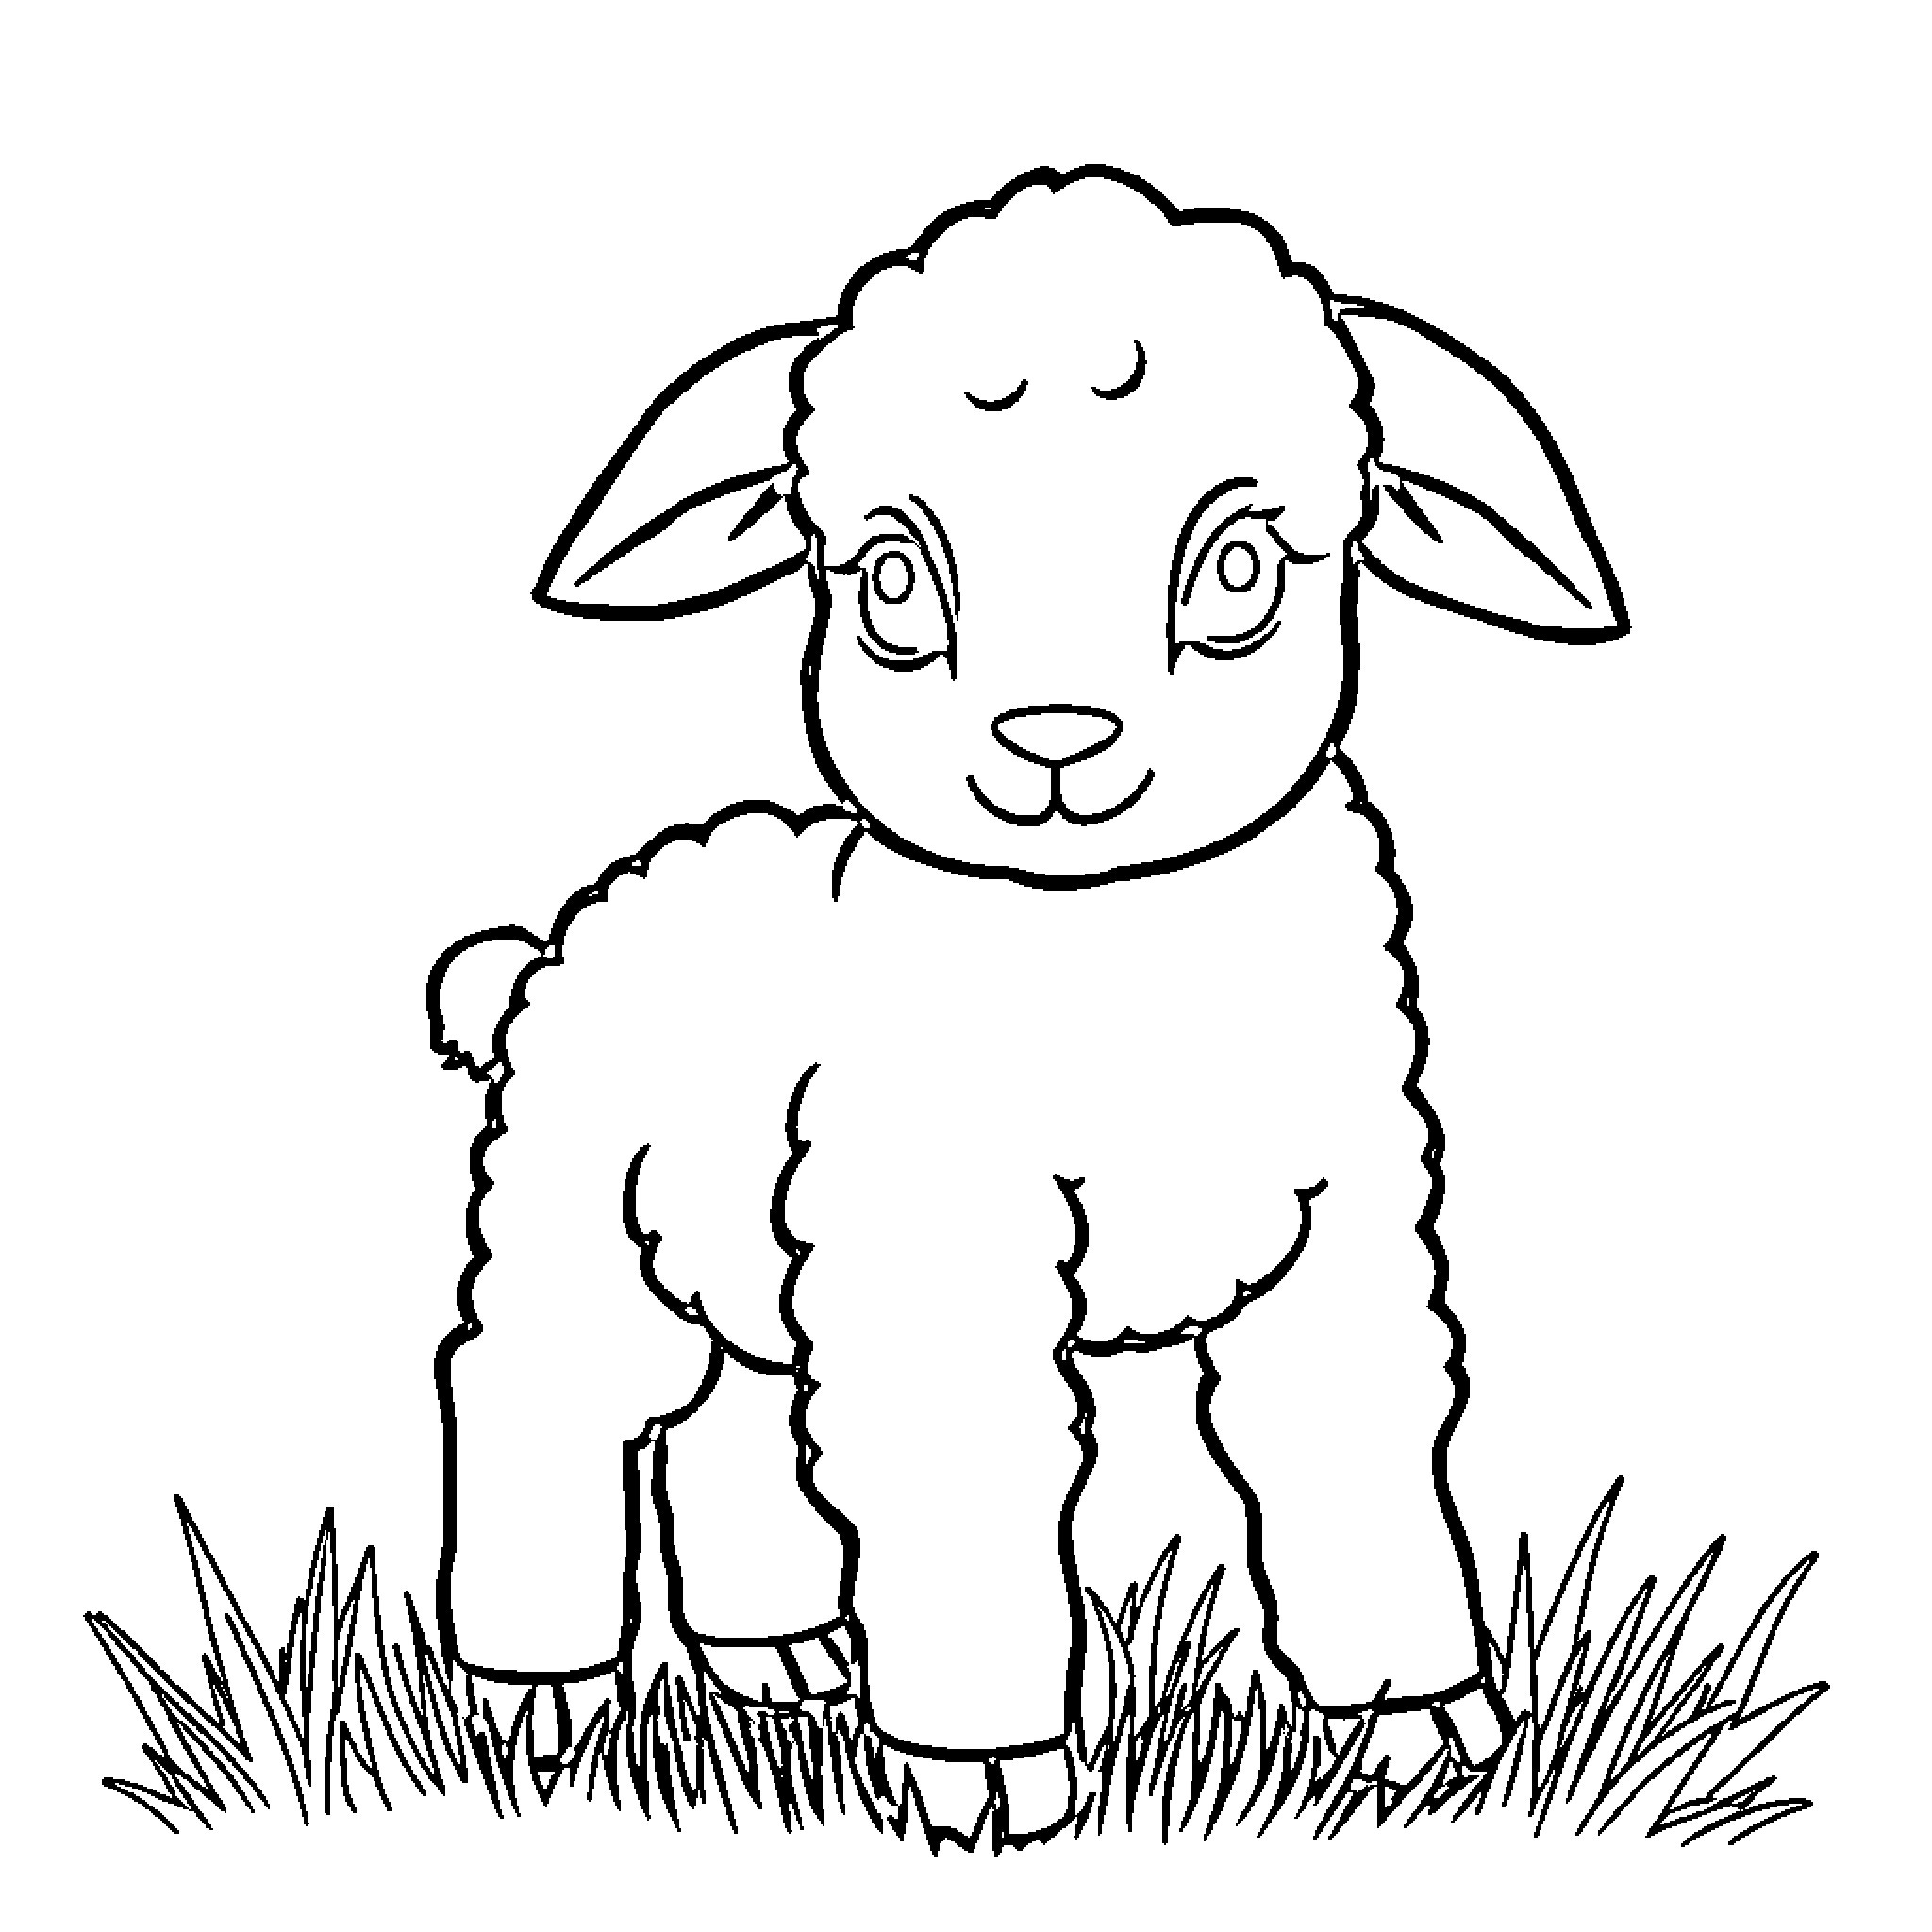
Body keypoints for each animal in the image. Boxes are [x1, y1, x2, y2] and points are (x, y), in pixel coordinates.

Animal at [433, 165, 1627, 1844]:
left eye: (1241, 566)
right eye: (887, 578)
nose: (1053, 742)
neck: (1109, 967)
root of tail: (564, 934)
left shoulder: (1350, 1234)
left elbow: (1354, 1444)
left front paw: (1414, 1721)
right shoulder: (936, 1240)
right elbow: (965, 1467)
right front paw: (991, 1774)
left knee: (738, 1420)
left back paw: (779, 1661)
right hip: (576, 1228)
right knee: (534, 1391)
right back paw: (537, 1688)